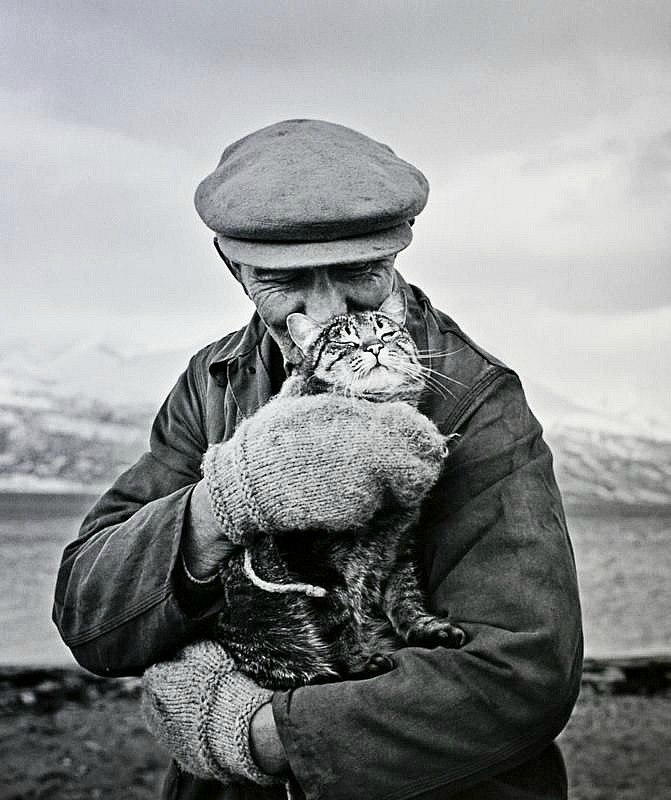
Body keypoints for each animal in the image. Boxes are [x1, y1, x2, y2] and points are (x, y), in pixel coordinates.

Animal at [211, 290, 468, 692]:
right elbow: (337, 621)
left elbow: (406, 597)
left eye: (387, 332)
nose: (374, 345)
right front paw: (356, 662)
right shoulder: (310, 561)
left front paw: (426, 628)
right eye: (345, 341)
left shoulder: (399, 544)